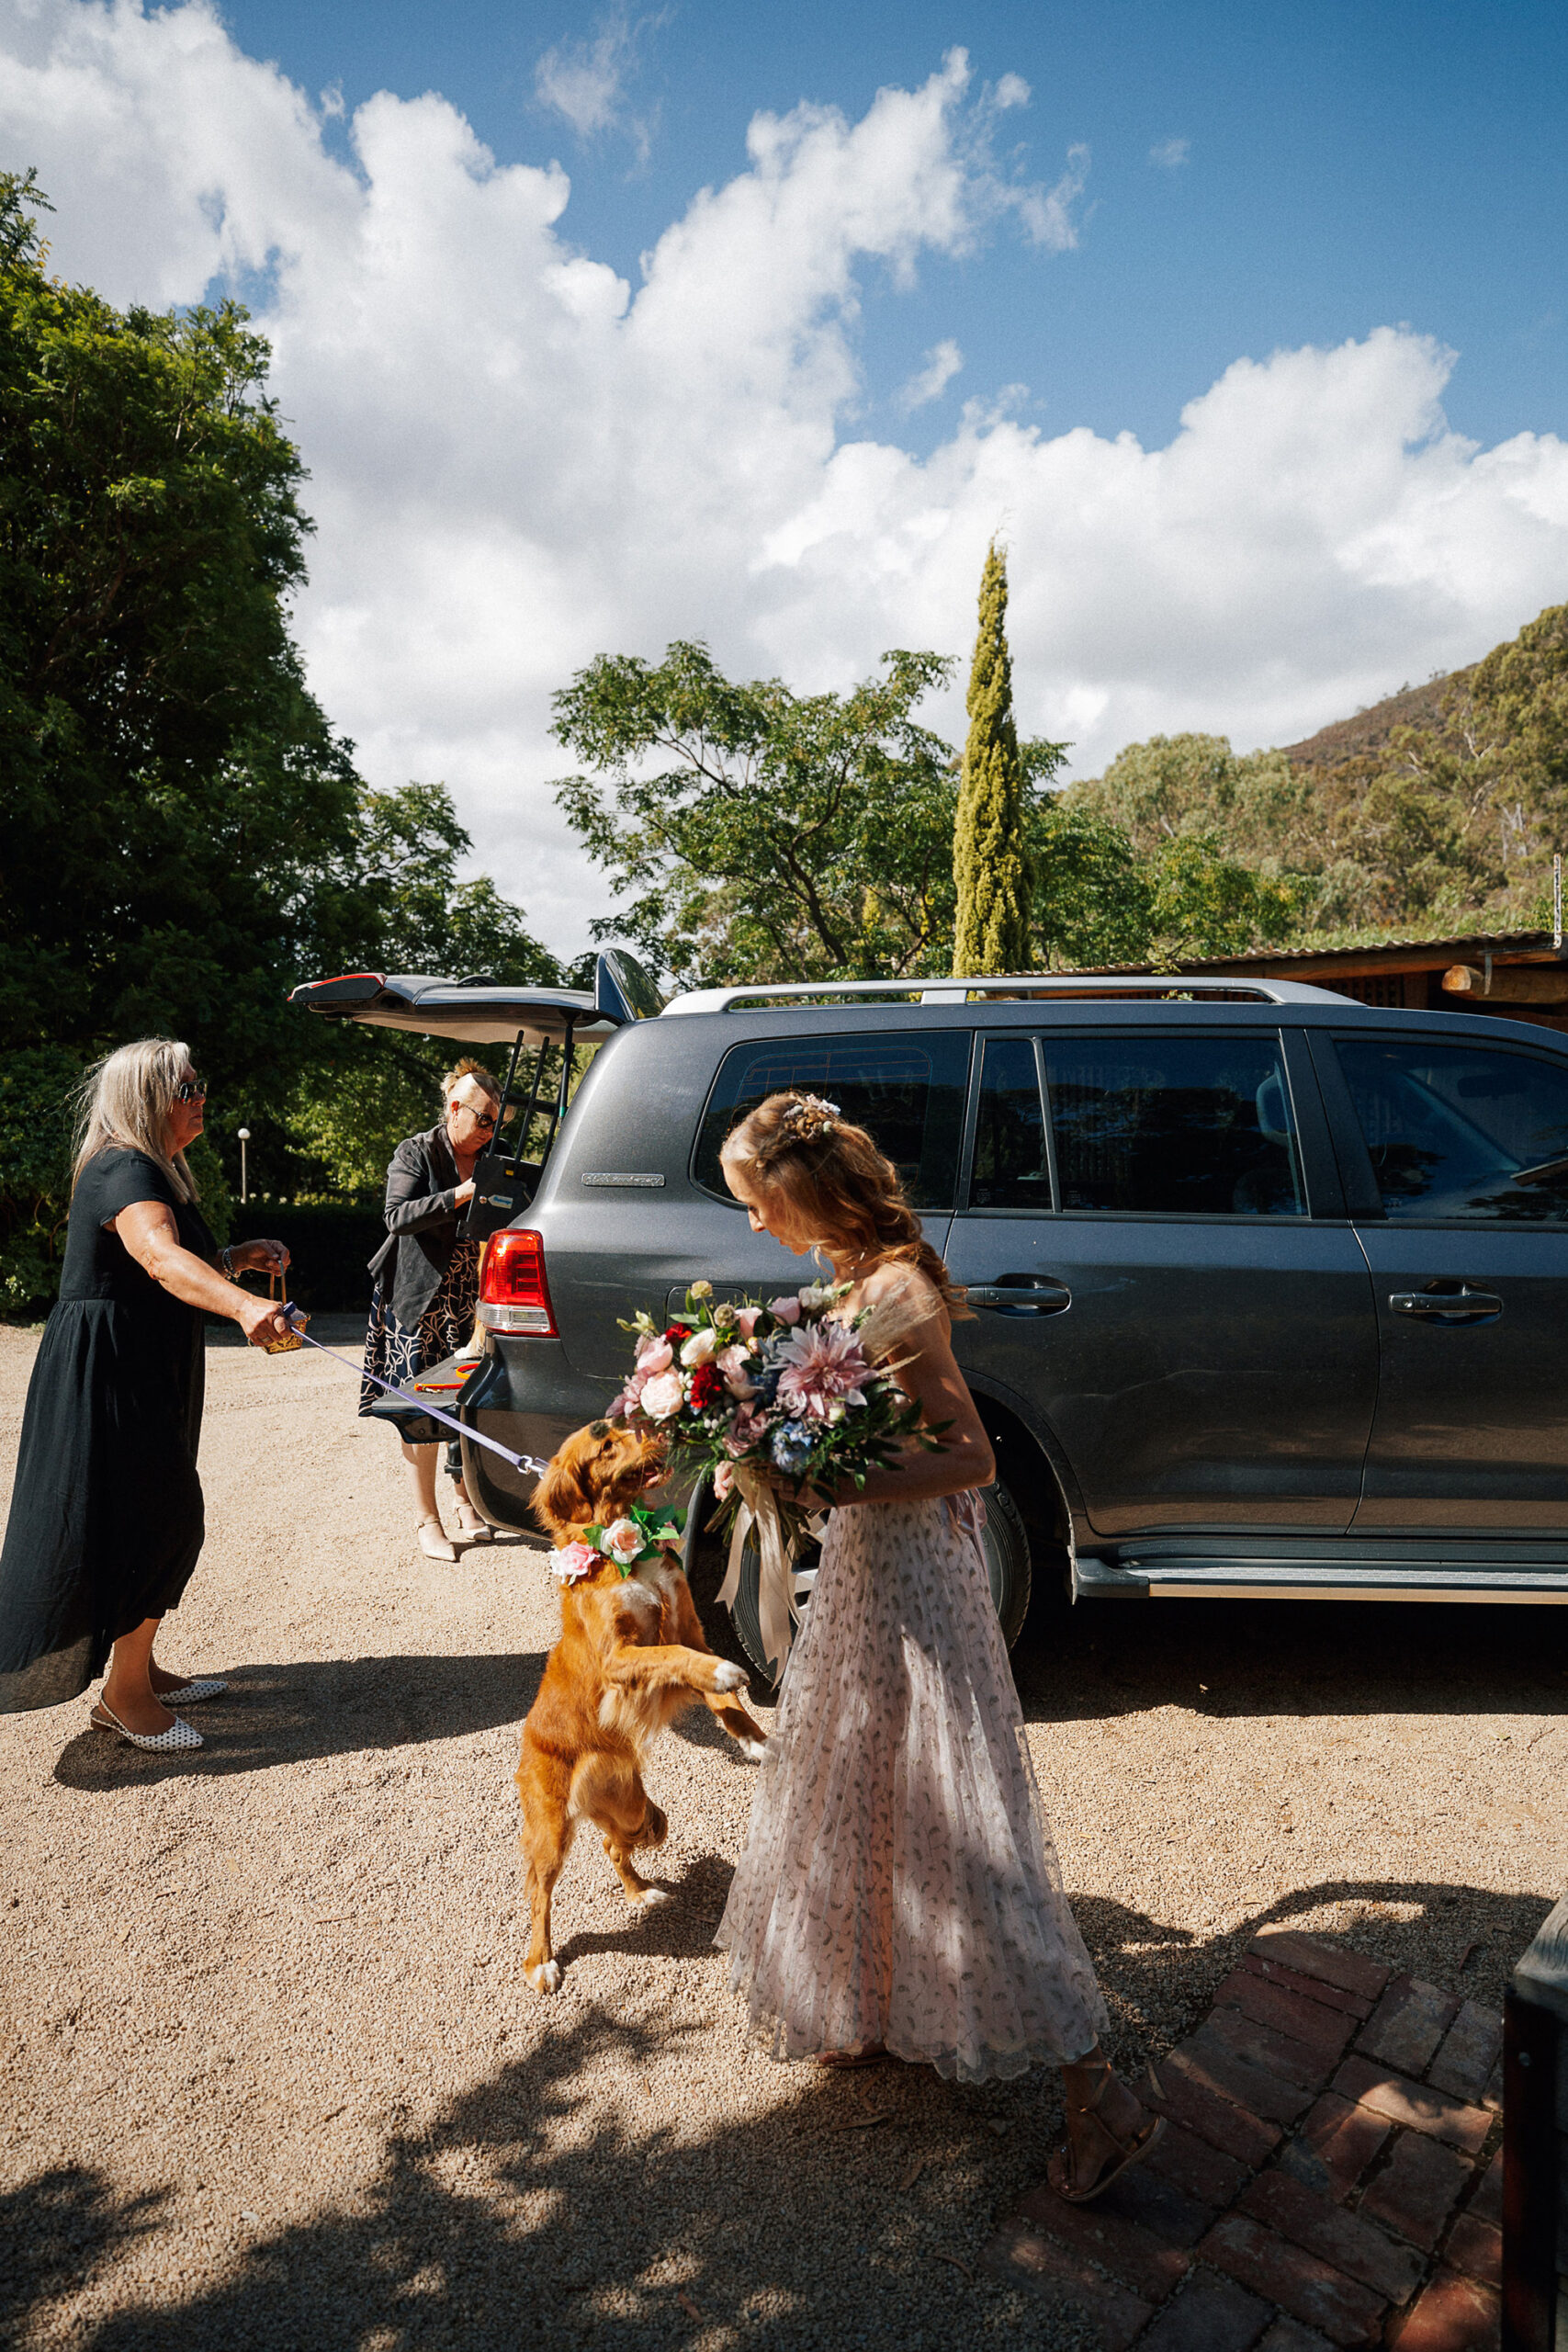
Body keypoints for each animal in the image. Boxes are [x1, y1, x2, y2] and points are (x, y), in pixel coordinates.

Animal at [514, 1420, 766, 1994]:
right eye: (606, 1443)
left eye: (627, 1428)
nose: (659, 1427)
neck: (622, 1535)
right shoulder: (622, 1657)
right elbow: (678, 1659)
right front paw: (726, 1674)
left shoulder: (687, 1626)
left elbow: (717, 1691)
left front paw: (756, 1738)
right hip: (552, 1829)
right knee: (538, 1890)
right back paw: (541, 1960)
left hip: (637, 1813)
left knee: (615, 1846)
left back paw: (639, 1892)